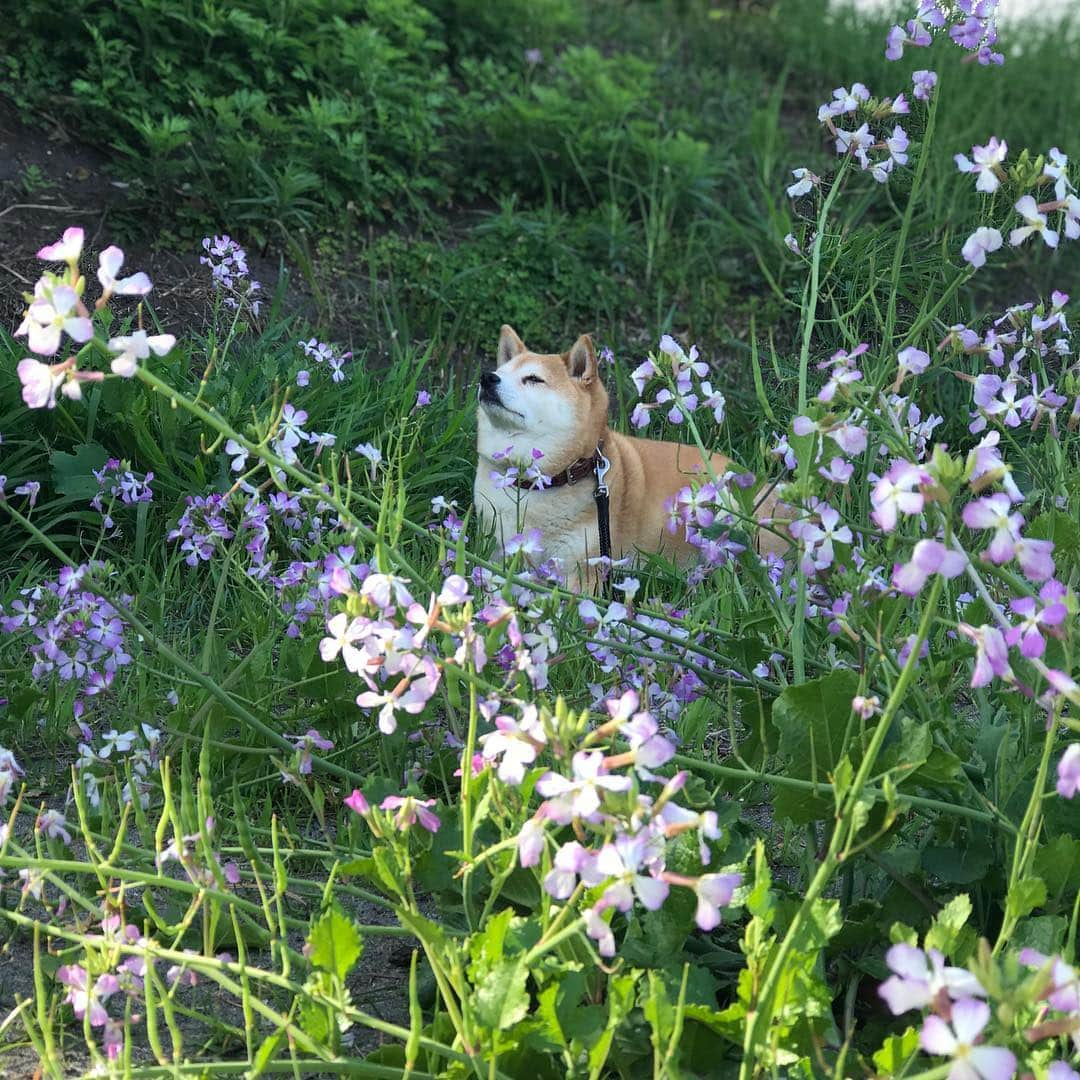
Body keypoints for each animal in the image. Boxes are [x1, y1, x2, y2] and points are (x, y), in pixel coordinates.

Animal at [473, 324, 786, 591]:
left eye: (533, 379)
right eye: (501, 371)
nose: (487, 377)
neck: (537, 484)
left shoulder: (586, 566)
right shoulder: (497, 549)